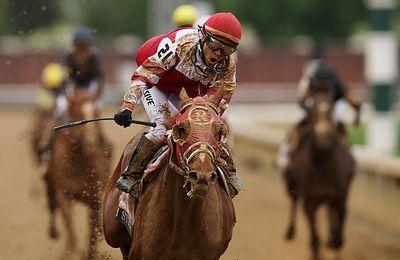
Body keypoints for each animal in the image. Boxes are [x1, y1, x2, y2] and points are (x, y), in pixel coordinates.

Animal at [45, 89, 112, 258]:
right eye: (76, 112)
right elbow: (70, 230)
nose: (91, 141)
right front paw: (70, 253)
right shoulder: (63, 194)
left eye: (96, 112)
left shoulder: (95, 198)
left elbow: (92, 235)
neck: (78, 162)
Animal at [282, 80, 354, 258]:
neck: (324, 168)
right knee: (293, 200)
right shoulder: (310, 202)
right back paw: (290, 232)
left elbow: (338, 237)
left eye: (331, 108)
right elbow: (315, 240)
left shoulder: (340, 198)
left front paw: (334, 243)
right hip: (291, 183)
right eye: (312, 108)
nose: (323, 135)